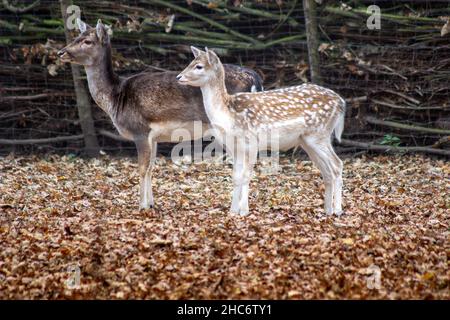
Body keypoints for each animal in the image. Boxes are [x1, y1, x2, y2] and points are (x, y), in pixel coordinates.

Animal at [59, 20, 264, 210]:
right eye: (76, 37)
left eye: (87, 41)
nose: (61, 52)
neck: (116, 98)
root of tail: (256, 79)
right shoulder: (154, 136)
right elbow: (151, 167)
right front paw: (151, 203)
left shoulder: (140, 130)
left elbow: (142, 168)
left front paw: (141, 206)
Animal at [177, 47, 344, 216]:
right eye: (191, 62)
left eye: (199, 66)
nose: (179, 77)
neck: (228, 114)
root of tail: (341, 102)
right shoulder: (233, 148)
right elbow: (236, 177)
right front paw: (233, 211)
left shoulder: (251, 142)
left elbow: (246, 176)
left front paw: (244, 211)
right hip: (307, 141)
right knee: (327, 171)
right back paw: (327, 210)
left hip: (319, 134)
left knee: (337, 164)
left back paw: (337, 210)